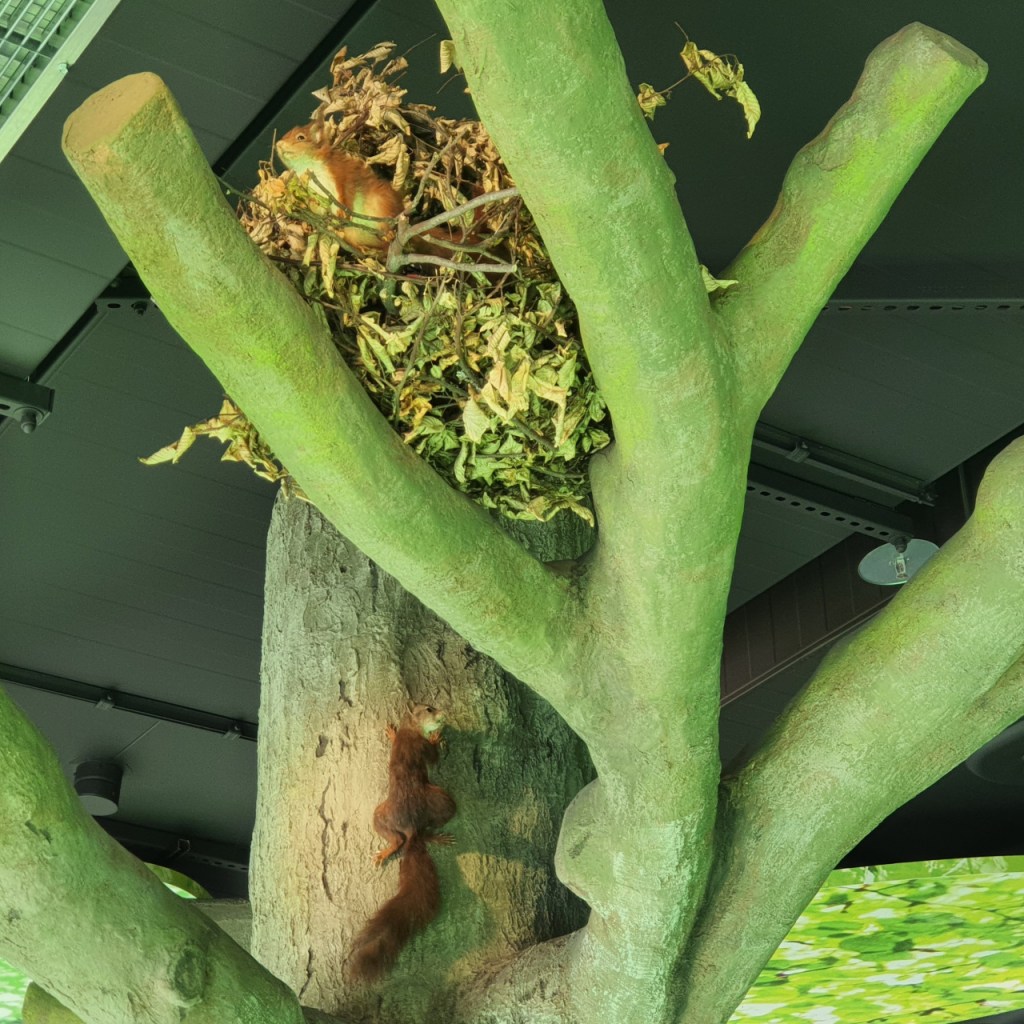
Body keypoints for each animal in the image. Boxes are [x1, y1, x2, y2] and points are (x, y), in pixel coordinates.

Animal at [347, 703, 456, 982]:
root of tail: (411, 828)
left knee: (401, 838)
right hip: (421, 804)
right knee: (401, 839)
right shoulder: (419, 745)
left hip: (391, 814)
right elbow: (432, 756)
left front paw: (391, 732)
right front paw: (434, 737)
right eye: (429, 708)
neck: (411, 729)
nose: (443, 715)